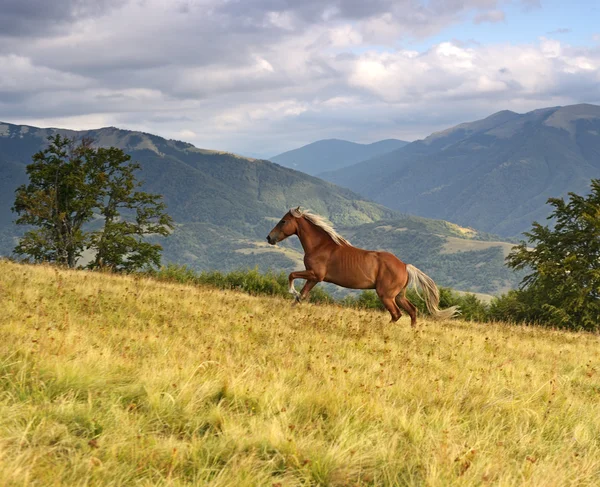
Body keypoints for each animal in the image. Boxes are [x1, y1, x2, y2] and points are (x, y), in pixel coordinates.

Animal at [268, 207, 460, 326]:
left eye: (283, 221)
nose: (269, 238)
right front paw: (291, 307)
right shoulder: (314, 278)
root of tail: (405, 265)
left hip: (386, 295)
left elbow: (292, 275)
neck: (320, 245)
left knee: (397, 314)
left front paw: (291, 292)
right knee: (412, 311)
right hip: (398, 295)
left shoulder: (315, 274)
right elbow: (301, 295)